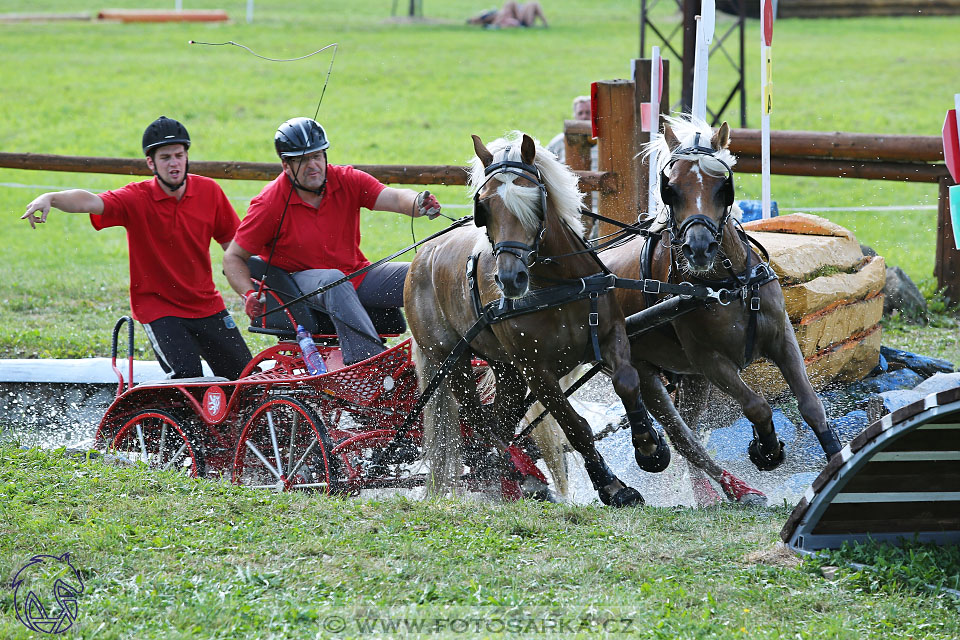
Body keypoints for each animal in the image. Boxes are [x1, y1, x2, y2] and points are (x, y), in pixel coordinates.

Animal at [404, 131, 676, 504]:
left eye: (533, 201)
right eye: (484, 206)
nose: (509, 279)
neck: (557, 283)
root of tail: (422, 257)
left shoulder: (611, 335)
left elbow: (627, 382)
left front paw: (650, 447)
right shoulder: (536, 370)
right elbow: (576, 426)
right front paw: (611, 486)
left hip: (506, 369)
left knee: (500, 420)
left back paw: (507, 476)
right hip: (452, 361)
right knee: (478, 419)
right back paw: (512, 473)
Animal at [608, 114, 840, 500]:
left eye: (722, 187)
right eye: (671, 189)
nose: (699, 248)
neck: (727, 284)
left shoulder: (782, 338)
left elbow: (811, 405)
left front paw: (838, 459)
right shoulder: (711, 361)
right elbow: (756, 405)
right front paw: (767, 450)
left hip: (691, 379)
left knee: (689, 431)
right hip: (645, 372)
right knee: (683, 438)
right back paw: (726, 488)